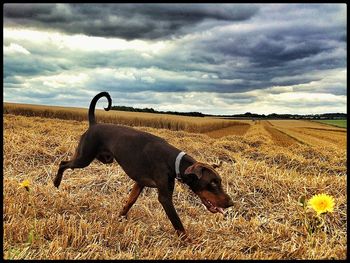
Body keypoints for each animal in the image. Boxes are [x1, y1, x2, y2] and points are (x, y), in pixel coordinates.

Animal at [54, 92, 234, 239]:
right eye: (212, 183)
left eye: (219, 182)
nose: (231, 203)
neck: (173, 161)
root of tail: (94, 124)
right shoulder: (165, 198)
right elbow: (178, 224)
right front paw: (190, 243)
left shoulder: (139, 183)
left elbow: (129, 201)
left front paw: (120, 217)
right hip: (84, 158)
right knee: (63, 163)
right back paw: (56, 182)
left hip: (104, 159)